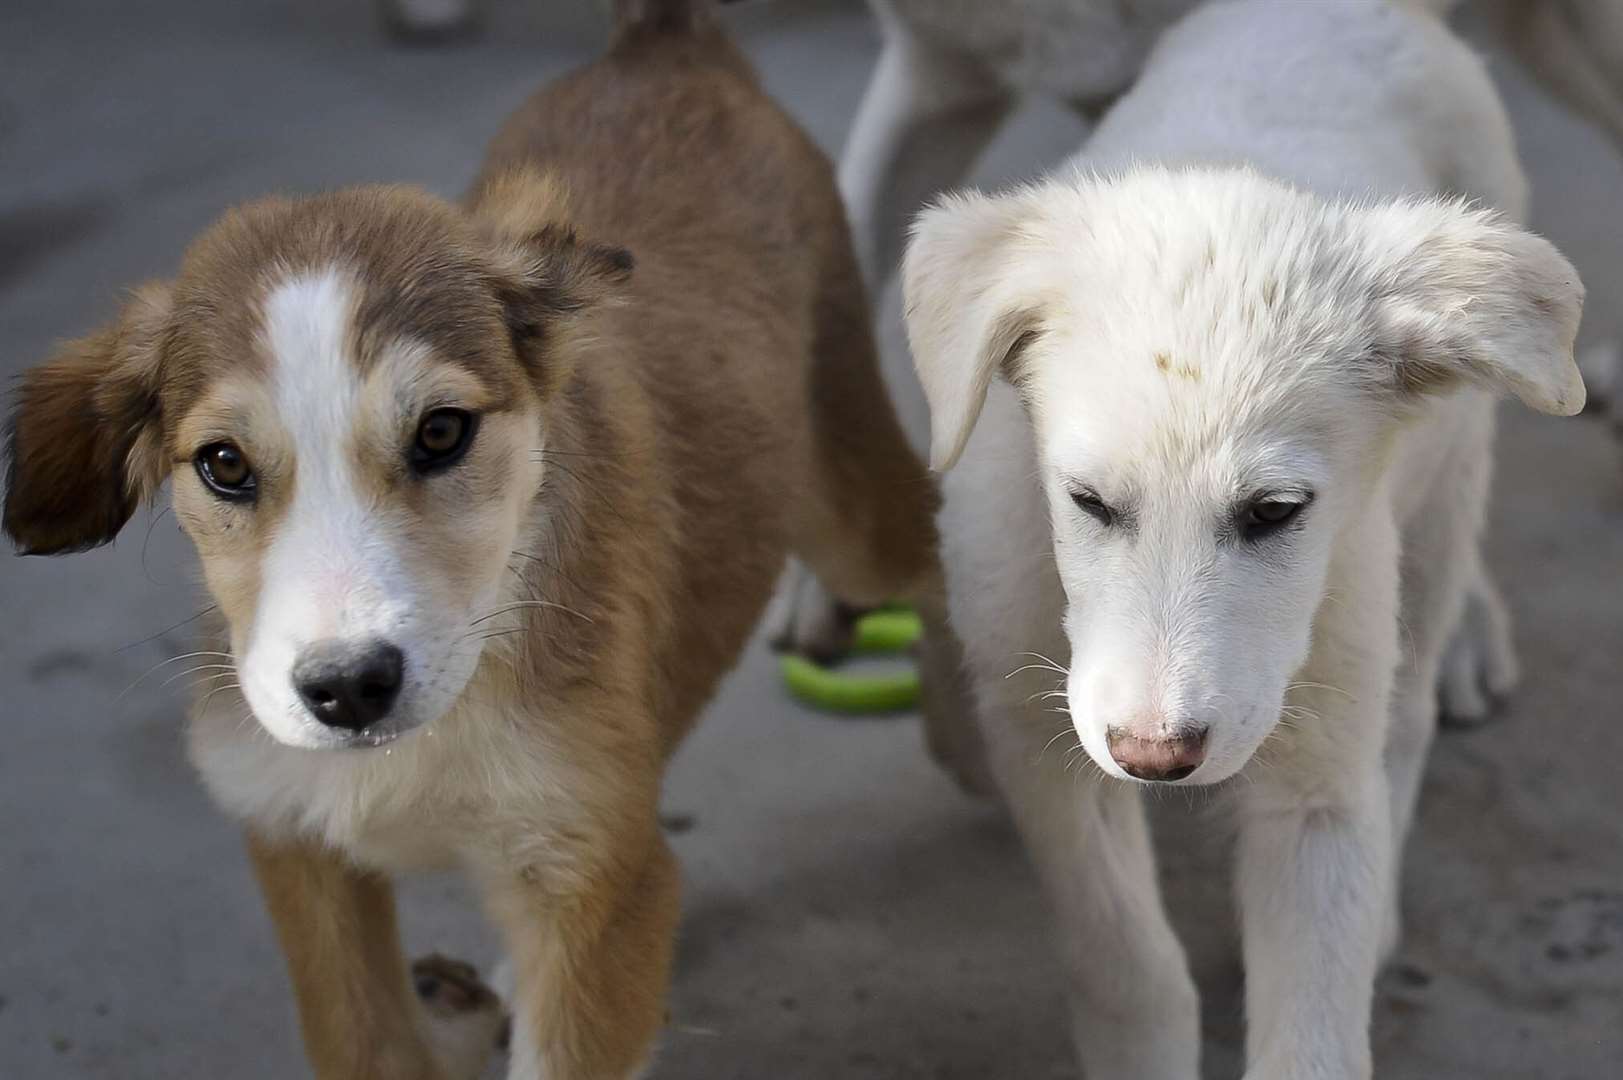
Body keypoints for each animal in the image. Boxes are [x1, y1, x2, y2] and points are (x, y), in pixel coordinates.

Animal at [0, 4, 947, 1071]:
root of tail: (661, 44)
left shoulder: (598, 893)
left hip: (849, 494)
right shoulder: (300, 847)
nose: (347, 690)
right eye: (224, 465)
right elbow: (366, 1040)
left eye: (442, 431)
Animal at [908, 4, 1590, 1071]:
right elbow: (1126, 965)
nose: (1155, 756)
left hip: (1438, 507)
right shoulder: (1038, 737)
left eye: (1273, 512)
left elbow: (1313, 1032)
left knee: (1405, 716)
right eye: (1086, 501)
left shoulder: (1313, 784)